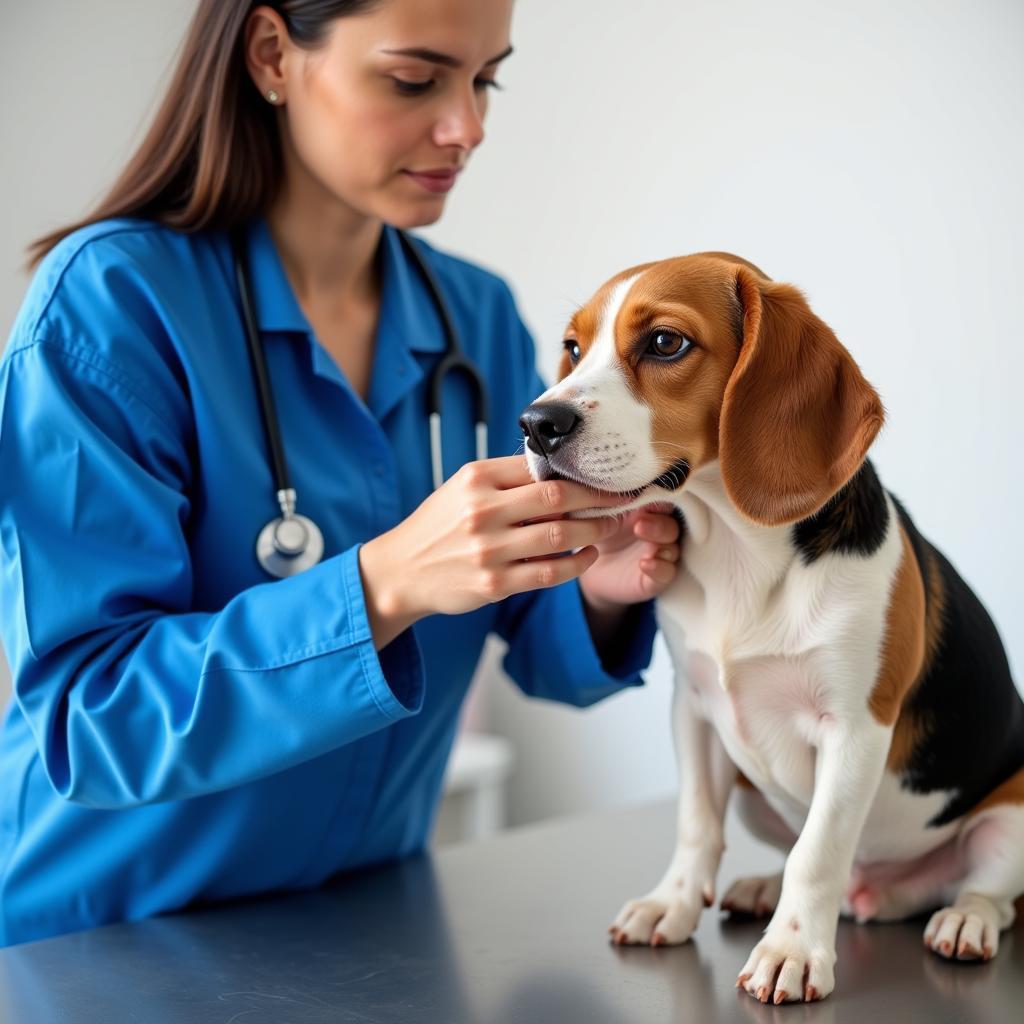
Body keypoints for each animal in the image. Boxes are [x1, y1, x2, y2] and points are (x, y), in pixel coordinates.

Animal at [520, 251, 1024, 1003]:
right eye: (574, 349)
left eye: (665, 343)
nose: (535, 423)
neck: (737, 552)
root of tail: (887, 893)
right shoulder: (695, 709)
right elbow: (696, 823)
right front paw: (671, 904)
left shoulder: (854, 729)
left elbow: (817, 853)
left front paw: (792, 950)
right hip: (755, 792)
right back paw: (764, 888)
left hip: (1010, 819)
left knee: (987, 891)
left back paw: (965, 920)